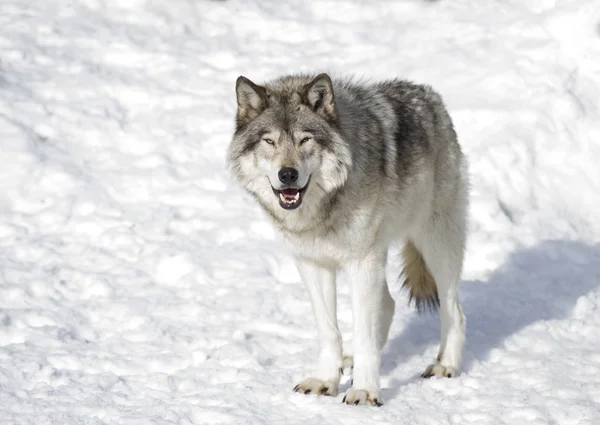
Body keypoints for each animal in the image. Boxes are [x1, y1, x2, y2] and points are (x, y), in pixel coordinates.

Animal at [225, 72, 468, 404]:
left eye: (305, 139)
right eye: (269, 141)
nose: (287, 174)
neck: (321, 211)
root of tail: (429, 95)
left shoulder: (361, 262)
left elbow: (363, 333)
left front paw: (365, 391)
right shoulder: (313, 264)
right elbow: (330, 331)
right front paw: (326, 380)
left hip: (435, 246)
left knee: (454, 310)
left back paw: (445, 366)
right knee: (389, 304)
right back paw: (349, 361)